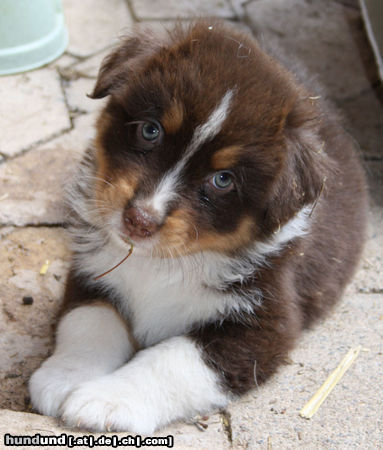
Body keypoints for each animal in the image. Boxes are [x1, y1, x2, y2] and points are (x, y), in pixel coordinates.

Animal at [29, 20, 368, 432]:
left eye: (223, 180)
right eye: (150, 130)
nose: (139, 220)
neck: (159, 263)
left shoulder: (263, 323)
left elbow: (173, 360)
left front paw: (106, 401)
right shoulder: (92, 272)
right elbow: (87, 321)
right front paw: (66, 377)